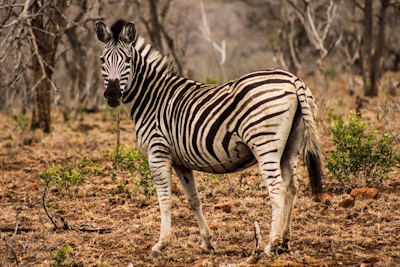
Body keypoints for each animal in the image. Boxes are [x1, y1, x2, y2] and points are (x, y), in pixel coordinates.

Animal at [95, 18, 324, 258]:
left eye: (128, 60)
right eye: (102, 60)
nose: (112, 95)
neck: (151, 98)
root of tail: (293, 79)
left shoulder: (157, 152)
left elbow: (165, 199)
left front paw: (161, 244)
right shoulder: (180, 161)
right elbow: (193, 199)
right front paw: (207, 242)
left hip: (264, 143)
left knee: (277, 188)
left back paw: (271, 244)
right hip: (291, 145)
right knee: (292, 187)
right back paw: (285, 242)